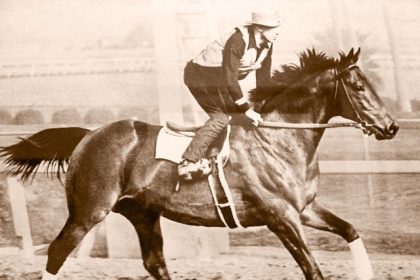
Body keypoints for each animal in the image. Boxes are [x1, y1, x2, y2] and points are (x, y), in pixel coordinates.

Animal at [0, 48, 398, 280]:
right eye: (359, 87)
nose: (391, 126)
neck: (279, 140)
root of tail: (88, 135)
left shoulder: (305, 209)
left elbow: (351, 230)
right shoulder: (280, 216)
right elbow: (313, 269)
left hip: (142, 212)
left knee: (155, 263)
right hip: (88, 211)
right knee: (57, 252)